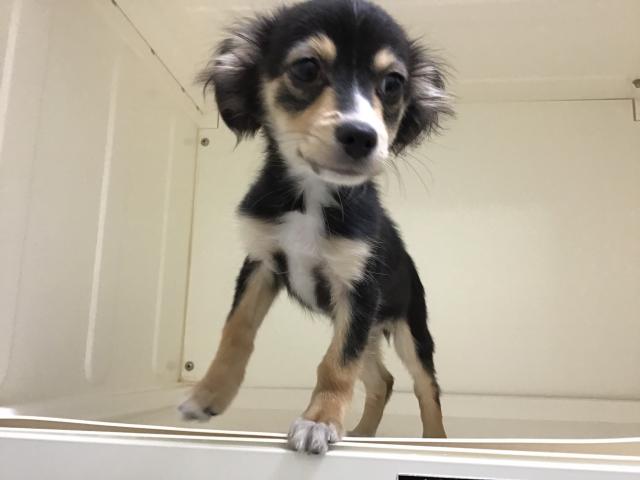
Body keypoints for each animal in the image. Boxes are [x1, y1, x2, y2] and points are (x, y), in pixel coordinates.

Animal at [179, 0, 453, 454]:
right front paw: (208, 394)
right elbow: (236, 331)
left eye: (393, 84)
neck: (312, 197)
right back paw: (363, 432)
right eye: (306, 68)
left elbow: (336, 364)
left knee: (424, 385)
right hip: (369, 332)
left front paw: (320, 421)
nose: (362, 136)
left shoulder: (358, 289)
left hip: (407, 329)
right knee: (382, 380)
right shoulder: (262, 263)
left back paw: (435, 441)